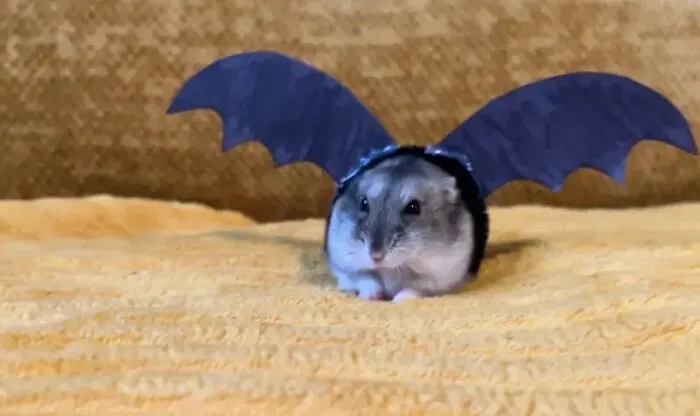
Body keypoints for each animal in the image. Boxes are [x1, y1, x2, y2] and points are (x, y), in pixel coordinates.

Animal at [323, 152, 487, 302]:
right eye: (364, 203)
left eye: (413, 207)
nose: (375, 256)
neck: (392, 268)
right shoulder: (345, 268)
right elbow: (365, 279)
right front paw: (371, 297)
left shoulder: (436, 280)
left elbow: (412, 289)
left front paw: (398, 301)